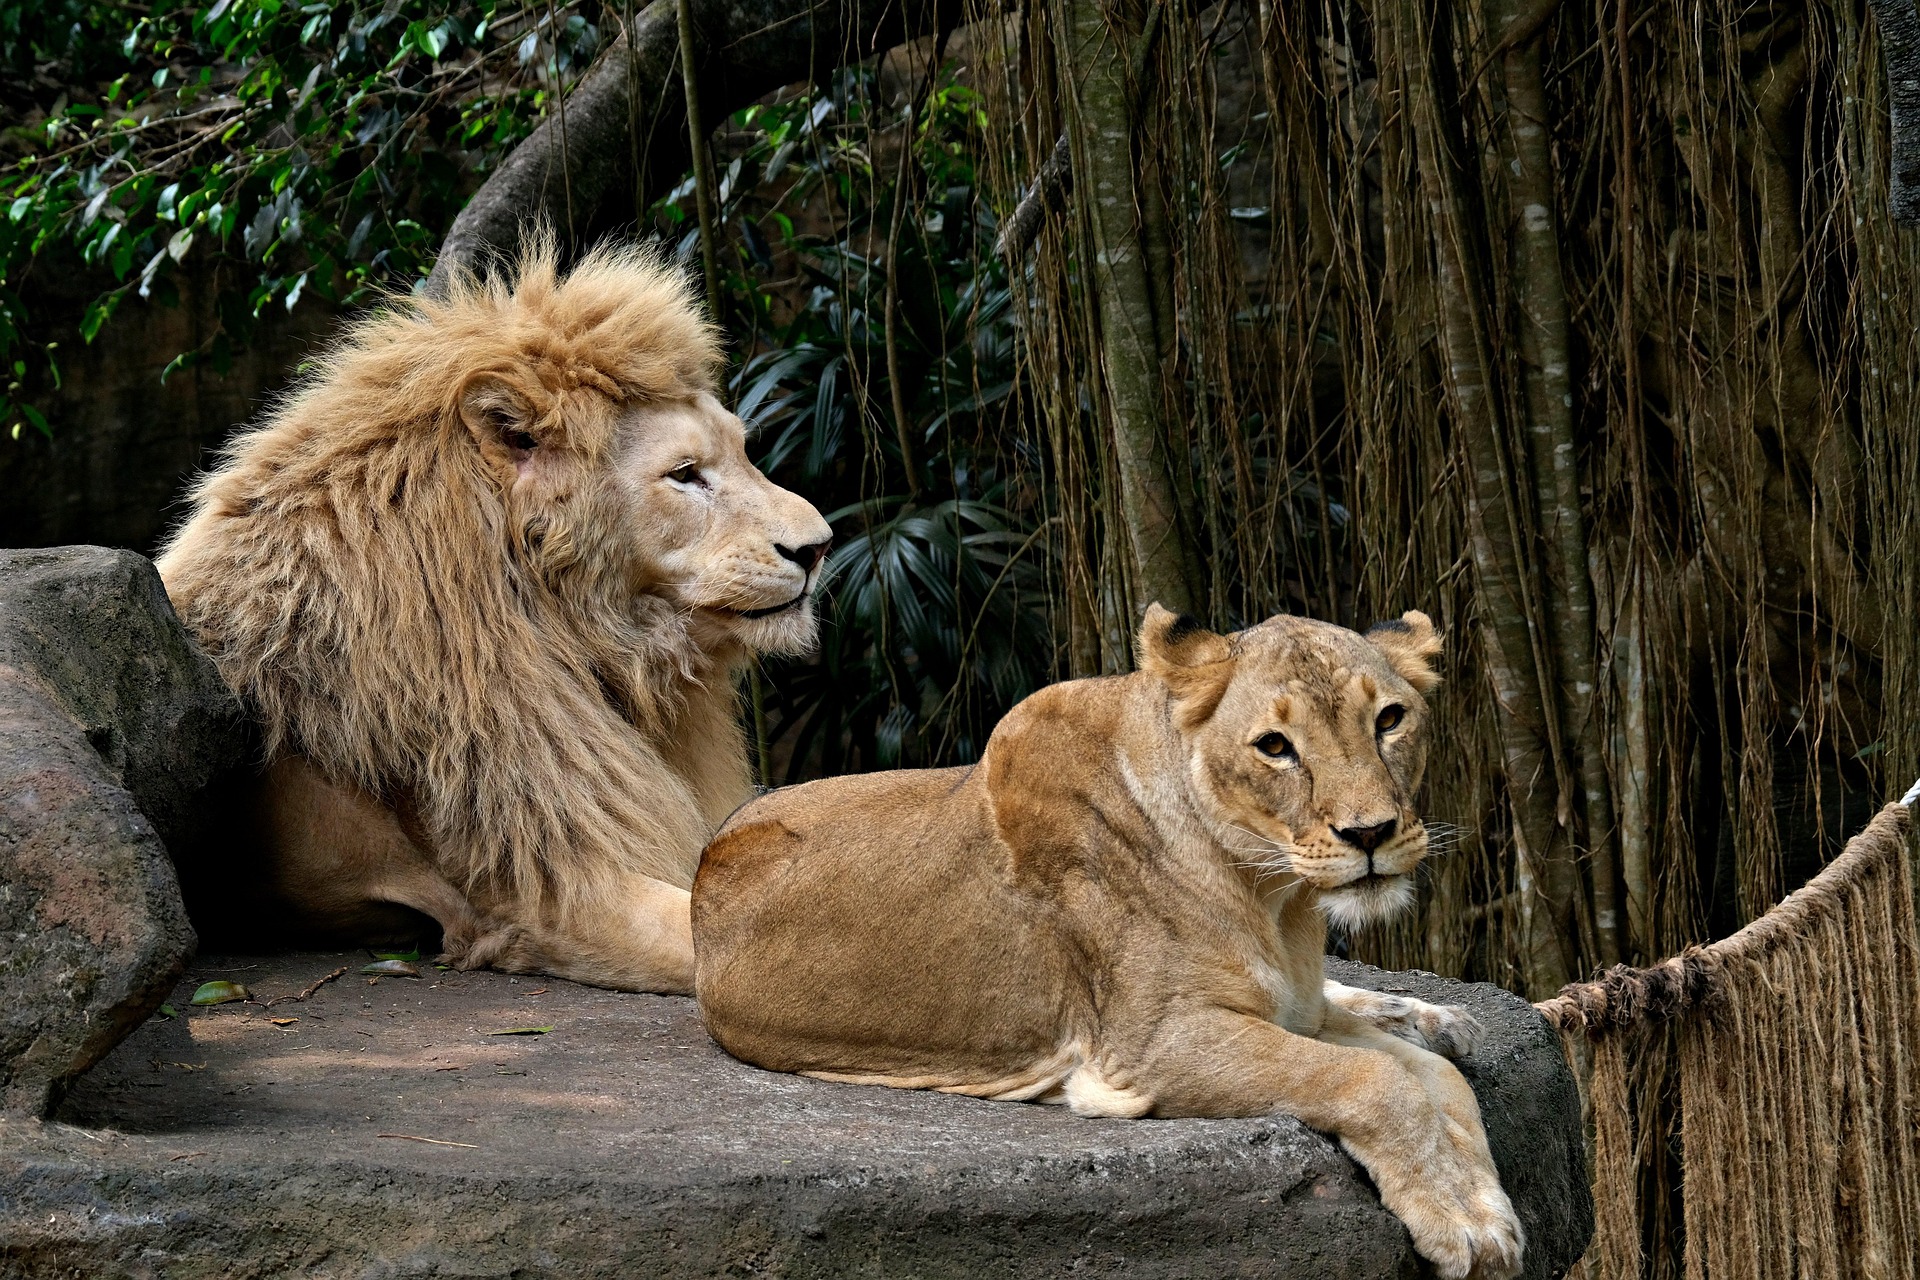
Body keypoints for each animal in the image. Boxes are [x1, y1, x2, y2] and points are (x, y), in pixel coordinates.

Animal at [692, 605, 1523, 1278]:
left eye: (1389, 720)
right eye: (1275, 747)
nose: (1371, 834)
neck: (1277, 899)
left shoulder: (1289, 1010)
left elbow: (1436, 1081)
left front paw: (1483, 1209)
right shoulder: (1150, 1047)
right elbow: (1375, 1081)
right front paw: (1460, 1223)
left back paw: (1429, 1015)